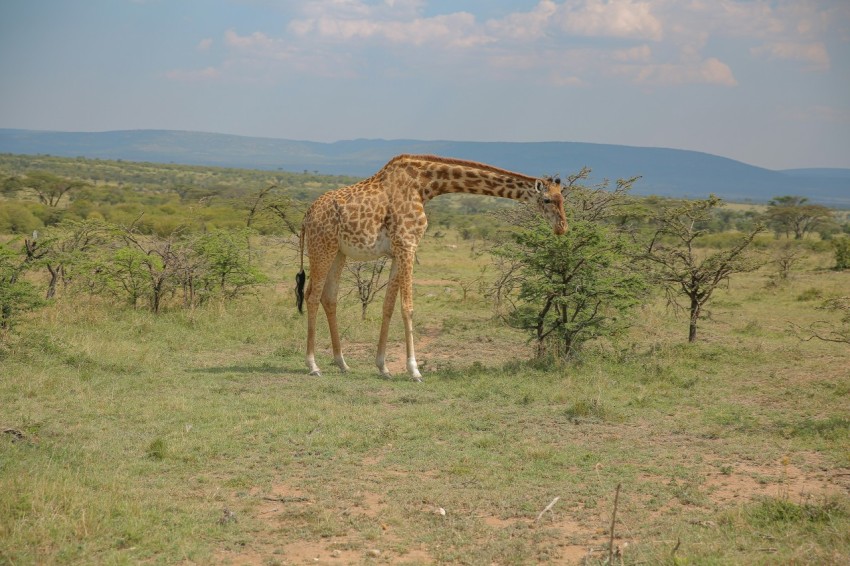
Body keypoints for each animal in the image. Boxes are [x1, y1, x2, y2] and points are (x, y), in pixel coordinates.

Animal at [295, 154, 568, 381]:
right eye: (546, 199)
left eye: (563, 198)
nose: (562, 228)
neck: (424, 186)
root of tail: (306, 216)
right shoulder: (408, 245)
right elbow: (407, 308)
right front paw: (414, 371)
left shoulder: (399, 250)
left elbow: (388, 306)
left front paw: (383, 367)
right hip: (322, 247)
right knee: (312, 296)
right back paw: (313, 366)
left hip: (339, 252)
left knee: (329, 297)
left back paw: (342, 364)